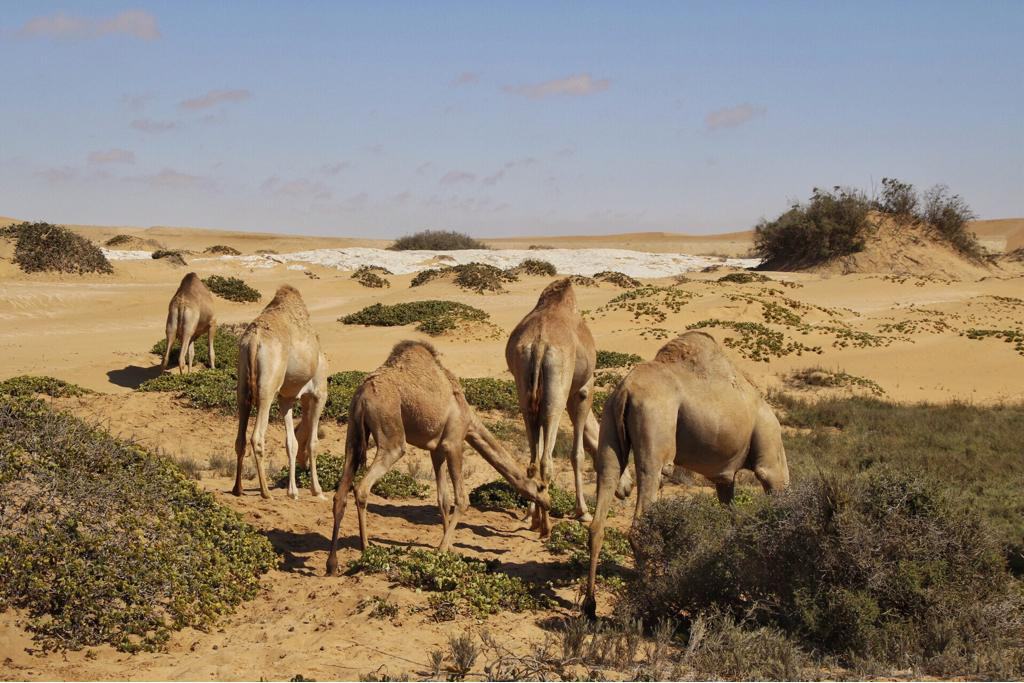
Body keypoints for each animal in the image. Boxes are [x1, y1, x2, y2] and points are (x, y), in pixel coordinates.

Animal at [234, 284, 328, 500]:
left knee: (240, 437)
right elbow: (312, 442)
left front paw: (292, 491)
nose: (304, 465)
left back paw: (238, 489)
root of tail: (254, 340)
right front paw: (317, 490)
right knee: (257, 436)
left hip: (243, 383)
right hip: (268, 386)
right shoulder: (319, 392)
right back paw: (266, 492)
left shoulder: (287, 398)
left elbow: (291, 442)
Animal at [325, 340, 550, 575]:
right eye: (541, 487)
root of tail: (363, 395)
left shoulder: (436, 450)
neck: (469, 418)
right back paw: (366, 549)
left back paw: (332, 564)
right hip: (391, 433)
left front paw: (448, 546)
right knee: (363, 487)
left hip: (352, 431)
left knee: (340, 492)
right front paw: (442, 548)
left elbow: (444, 499)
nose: (549, 503)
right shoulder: (454, 443)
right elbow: (462, 499)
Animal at [506, 278, 599, 536]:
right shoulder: (582, 390)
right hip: (555, 397)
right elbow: (578, 453)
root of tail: (539, 345)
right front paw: (583, 512)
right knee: (546, 460)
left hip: (525, 394)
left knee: (532, 462)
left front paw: (529, 514)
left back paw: (534, 519)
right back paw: (545, 527)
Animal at [583, 331, 789, 618]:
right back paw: (651, 602)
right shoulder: (769, 453)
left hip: (610, 427)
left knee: (600, 513)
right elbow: (771, 487)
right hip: (656, 432)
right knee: (641, 519)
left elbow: (731, 514)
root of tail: (626, 390)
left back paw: (590, 606)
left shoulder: (725, 478)